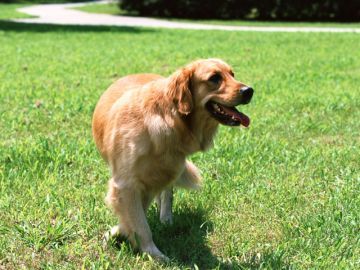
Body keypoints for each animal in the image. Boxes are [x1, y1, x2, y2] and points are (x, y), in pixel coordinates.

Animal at [92, 58, 253, 260]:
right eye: (214, 78)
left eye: (232, 74)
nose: (249, 90)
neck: (169, 118)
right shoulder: (127, 183)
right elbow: (139, 221)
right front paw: (151, 252)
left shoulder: (144, 182)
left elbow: (138, 218)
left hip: (169, 169)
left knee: (167, 192)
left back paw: (166, 217)